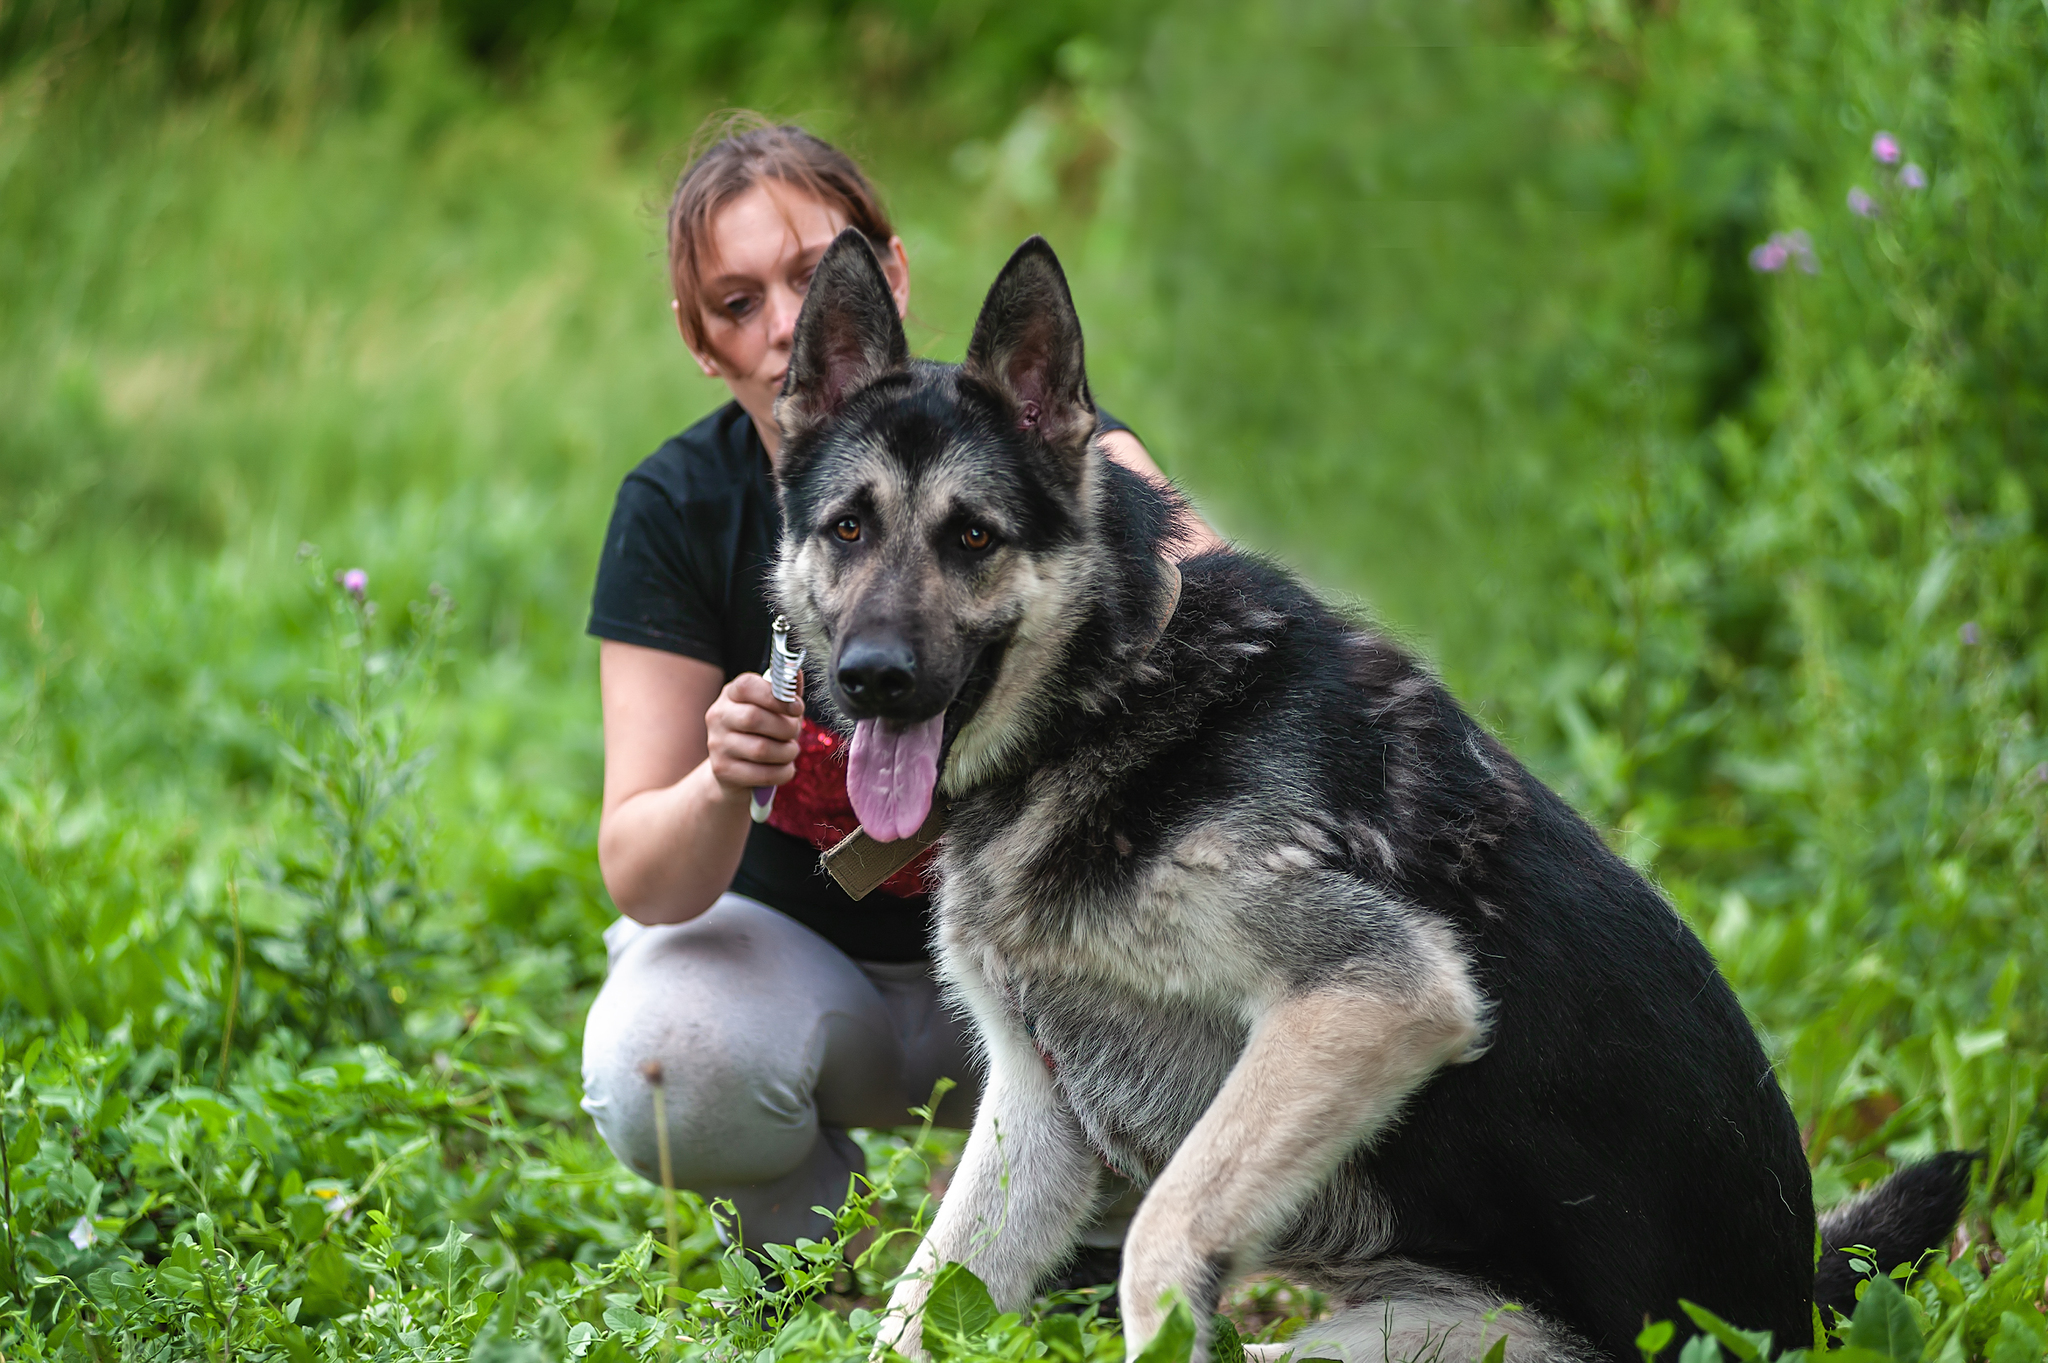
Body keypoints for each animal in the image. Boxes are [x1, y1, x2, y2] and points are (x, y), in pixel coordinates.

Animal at [770, 233, 1966, 1358]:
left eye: (972, 536)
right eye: (847, 528)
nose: (872, 676)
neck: (1107, 695)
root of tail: (1793, 1313)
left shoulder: (1375, 994)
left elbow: (1161, 1232)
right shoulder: (1036, 1108)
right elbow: (920, 1299)